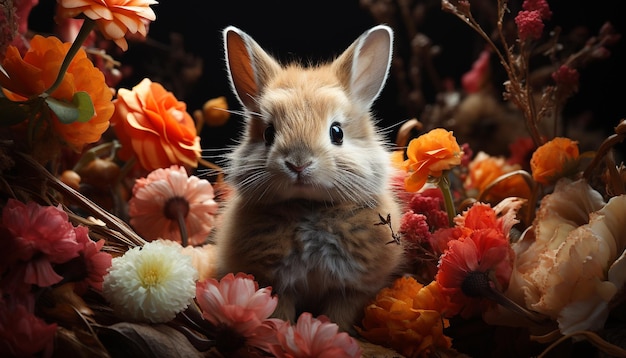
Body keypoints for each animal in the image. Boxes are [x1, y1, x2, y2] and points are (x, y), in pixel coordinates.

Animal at [212, 25, 402, 332]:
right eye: (268, 133)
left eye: (337, 132)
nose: (298, 164)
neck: (308, 207)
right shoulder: (276, 284)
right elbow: (281, 312)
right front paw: (284, 334)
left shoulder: (351, 290)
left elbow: (339, 316)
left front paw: (330, 332)